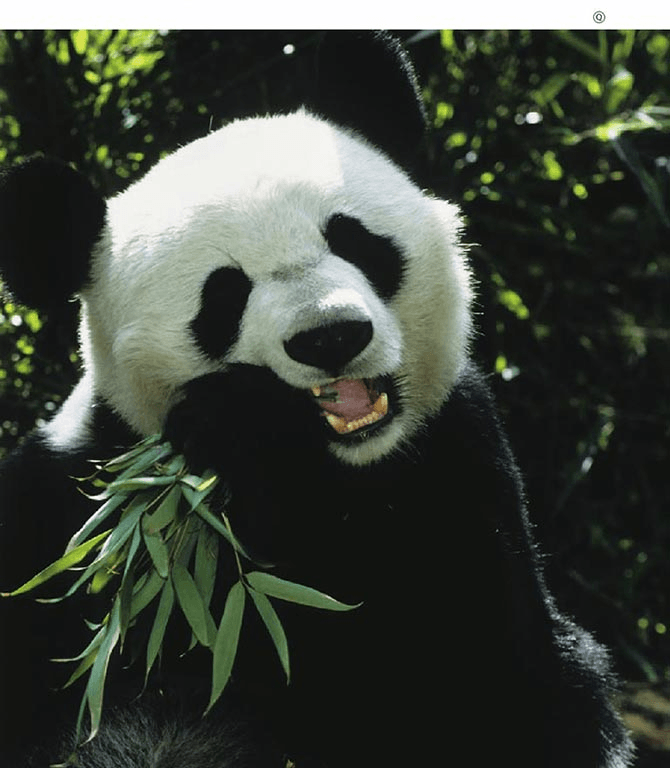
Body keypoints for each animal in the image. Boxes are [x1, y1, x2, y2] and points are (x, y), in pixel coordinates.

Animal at [0, 32, 633, 768]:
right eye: (223, 296)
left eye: (354, 239)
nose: (330, 336)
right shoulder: (58, 516)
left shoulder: (462, 460)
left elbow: (483, 682)